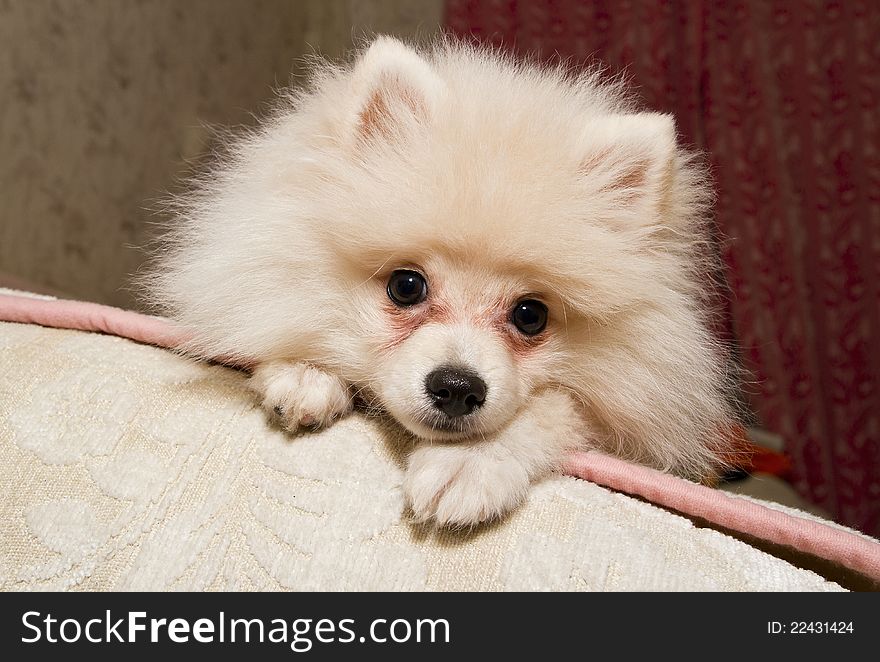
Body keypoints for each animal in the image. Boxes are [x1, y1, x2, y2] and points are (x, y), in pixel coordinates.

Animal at [146, 37, 736, 528]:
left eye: (531, 315)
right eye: (406, 286)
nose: (456, 387)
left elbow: (556, 409)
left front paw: (472, 462)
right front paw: (306, 372)